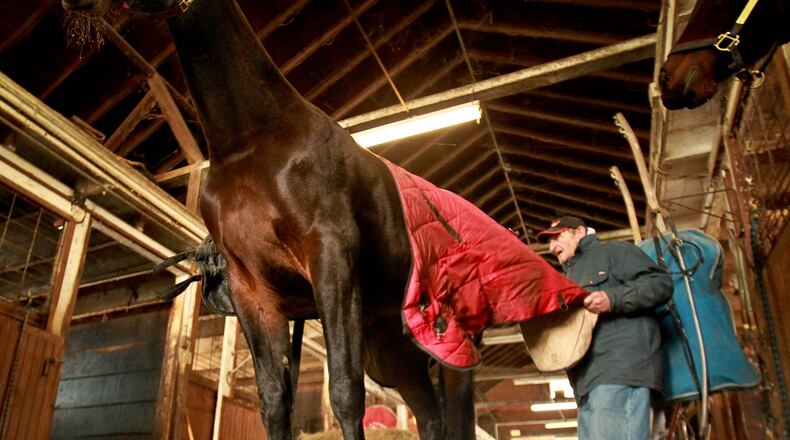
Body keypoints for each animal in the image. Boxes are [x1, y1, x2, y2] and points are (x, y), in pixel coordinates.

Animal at [61, 1, 588, 439]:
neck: (252, 140)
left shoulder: (331, 261)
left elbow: (344, 392)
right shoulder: (254, 291)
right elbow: (275, 401)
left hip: (453, 345)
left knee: (454, 417)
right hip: (394, 349)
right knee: (430, 417)